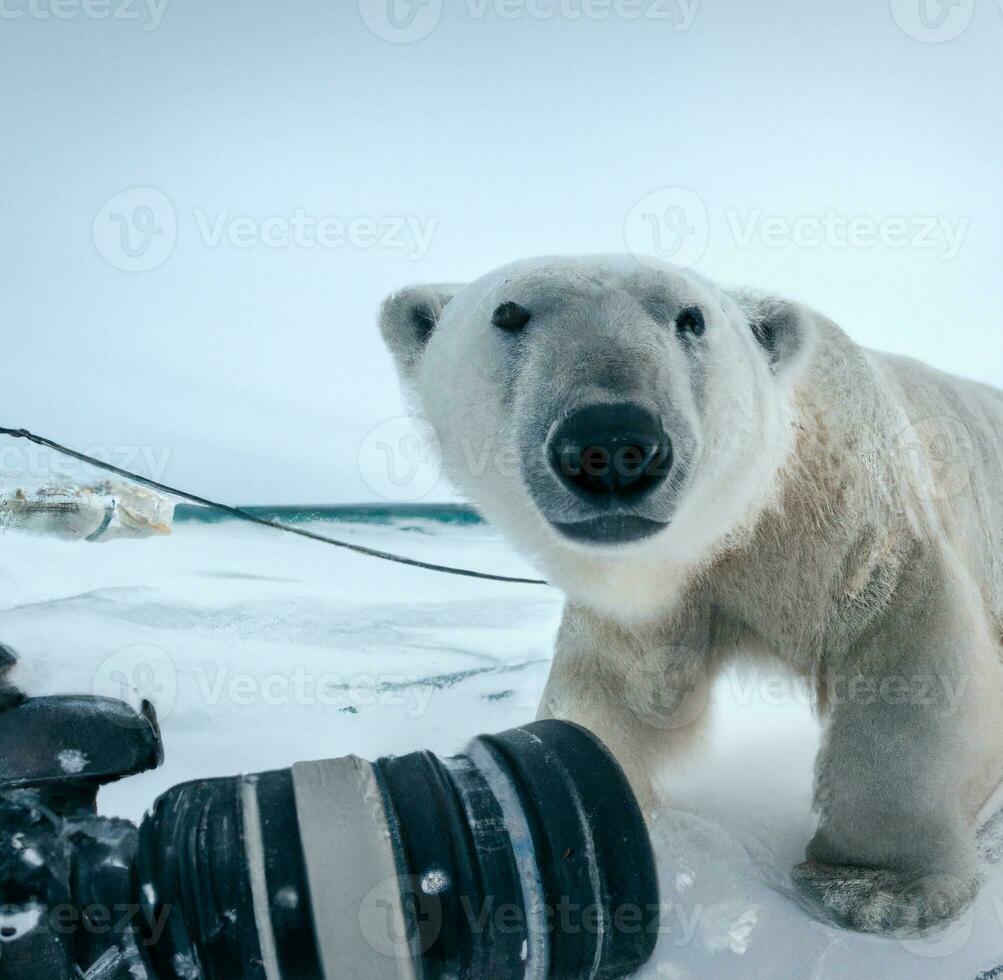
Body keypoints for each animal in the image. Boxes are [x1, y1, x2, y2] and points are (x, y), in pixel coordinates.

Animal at [377, 254, 1003, 934]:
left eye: (692, 318)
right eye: (508, 314)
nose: (611, 443)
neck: (742, 526)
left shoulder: (849, 518)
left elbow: (908, 650)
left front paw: (875, 889)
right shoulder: (656, 588)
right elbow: (621, 684)